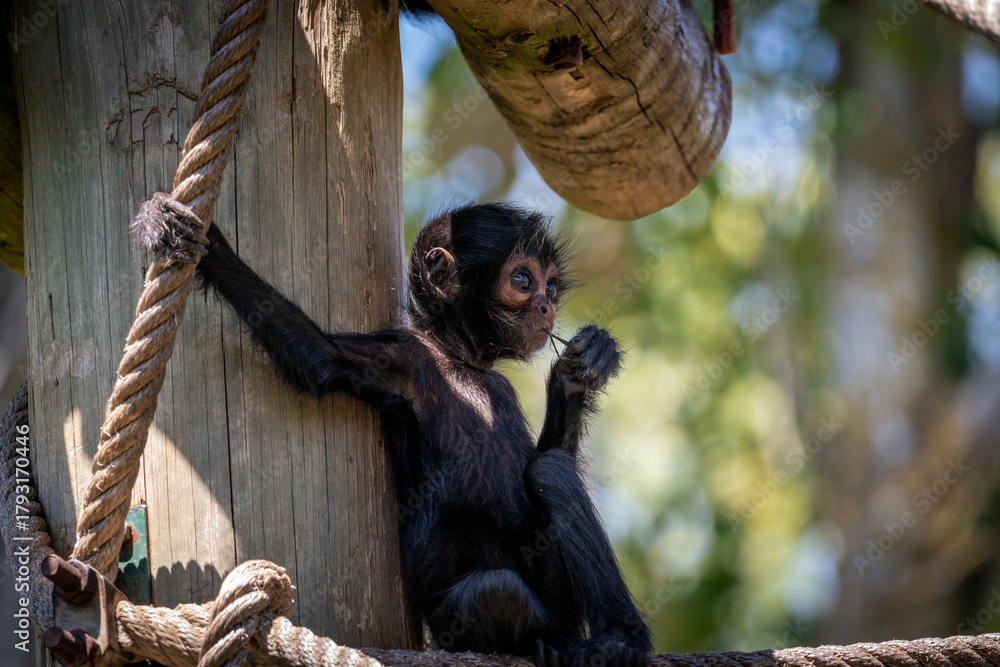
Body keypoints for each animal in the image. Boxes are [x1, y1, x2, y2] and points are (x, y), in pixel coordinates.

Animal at [134, 199, 653, 667]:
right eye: (523, 281)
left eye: (553, 285)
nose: (547, 306)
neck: (459, 361)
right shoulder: (403, 357)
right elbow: (321, 360)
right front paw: (202, 242)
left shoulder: (498, 387)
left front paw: (579, 372)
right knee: (498, 587)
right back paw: (577, 644)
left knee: (550, 470)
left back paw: (616, 642)